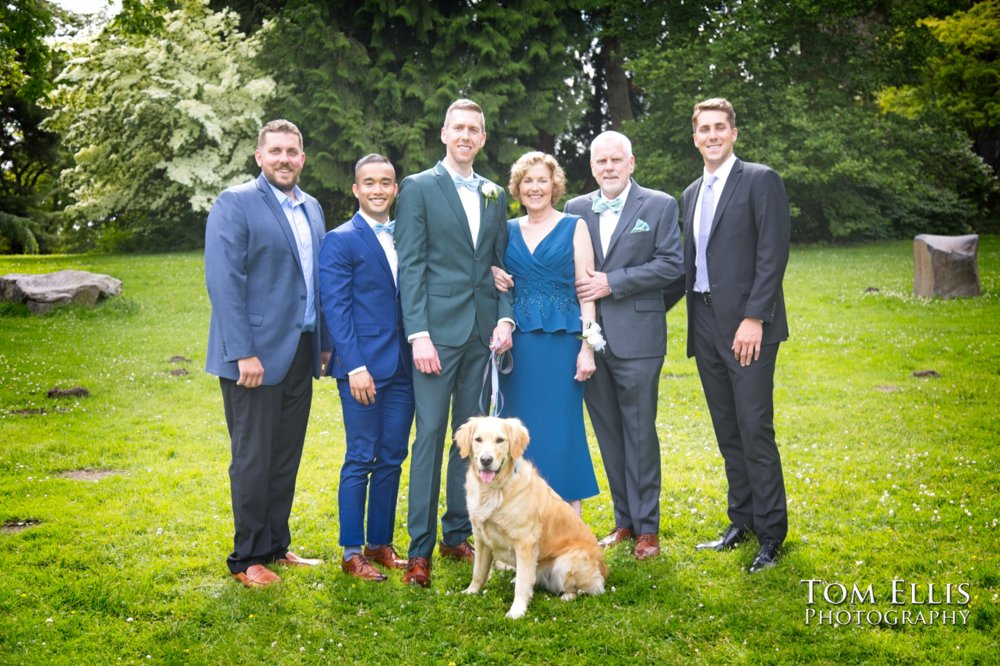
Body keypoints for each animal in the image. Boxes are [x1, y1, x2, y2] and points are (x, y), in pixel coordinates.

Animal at [456, 416, 608, 616]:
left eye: (500, 440)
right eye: (478, 439)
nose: (486, 460)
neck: (494, 490)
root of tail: (604, 569)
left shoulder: (525, 543)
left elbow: (522, 585)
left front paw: (516, 611)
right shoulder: (481, 538)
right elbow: (478, 572)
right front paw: (471, 592)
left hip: (566, 561)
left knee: (584, 589)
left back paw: (566, 597)